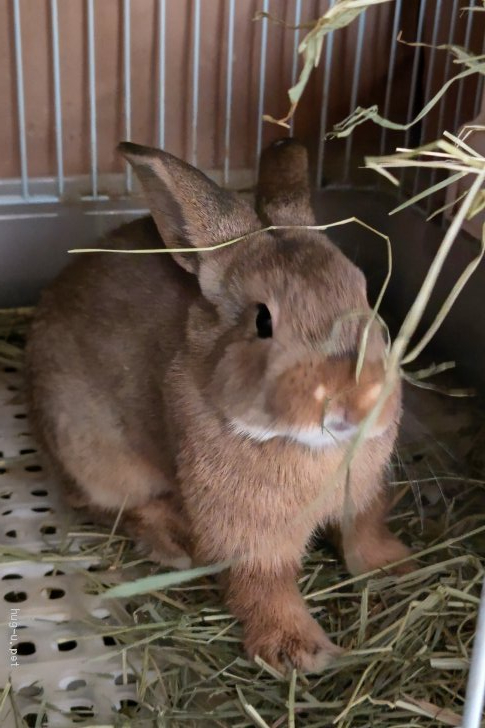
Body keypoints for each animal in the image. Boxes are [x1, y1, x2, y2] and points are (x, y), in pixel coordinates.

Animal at [26, 138, 410, 676]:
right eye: (263, 321)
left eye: (364, 292)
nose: (357, 404)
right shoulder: (249, 538)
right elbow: (264, 585)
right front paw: (299, 652)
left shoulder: (363, 499)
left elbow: (364, 531)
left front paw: (395, 566)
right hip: (98, 456)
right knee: (114, 506)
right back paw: (174, 546)